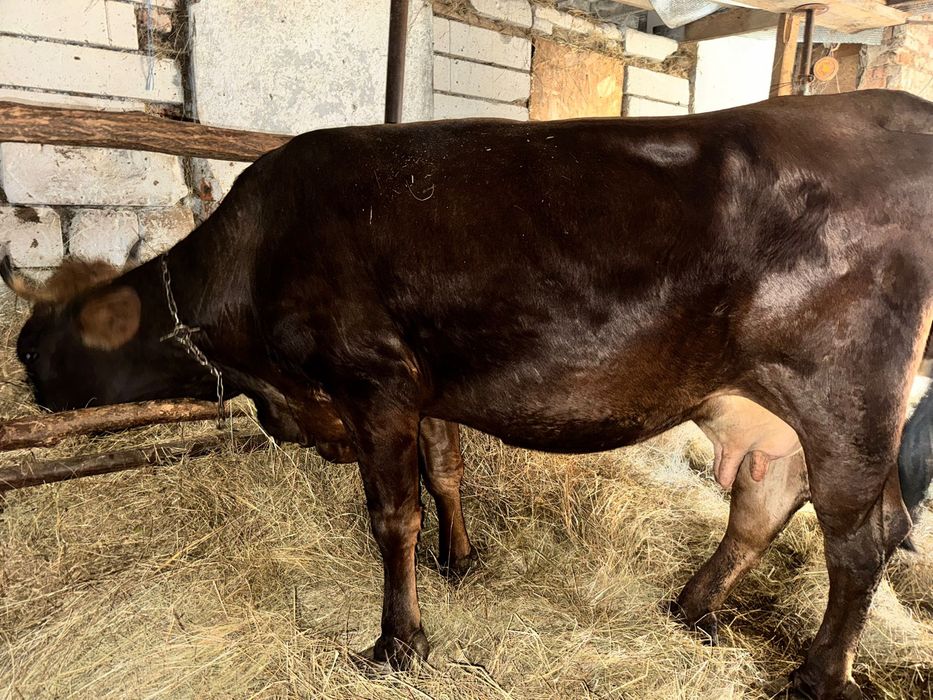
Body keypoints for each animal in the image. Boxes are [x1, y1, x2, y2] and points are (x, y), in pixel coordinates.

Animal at [3, 89, 932, 699]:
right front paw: (459, 559)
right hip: (765, 405)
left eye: (45, 336)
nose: (24, 366)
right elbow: (446, 471)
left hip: (846, 394)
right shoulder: (426, 390)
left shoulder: (373, 381)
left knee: (858, 543)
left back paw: (815, 676)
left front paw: (395, 643)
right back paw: (689, 607)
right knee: (769, 500)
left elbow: (393, 517)